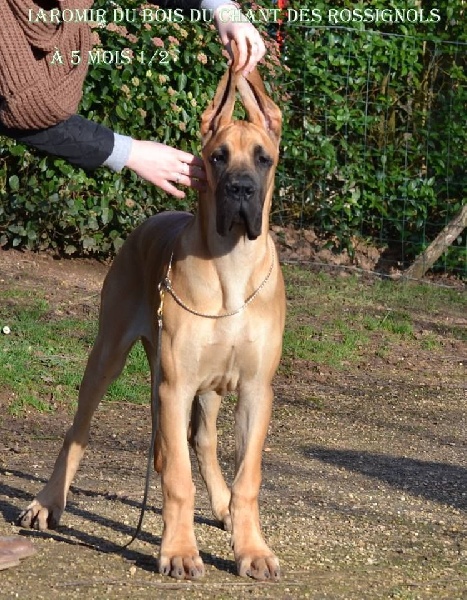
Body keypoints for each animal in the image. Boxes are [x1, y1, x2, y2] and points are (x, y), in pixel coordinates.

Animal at [19, 50, 286, 580]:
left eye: (262, 158)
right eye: (218, 157)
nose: (241, 190)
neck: (231, 268)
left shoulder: (254, 389)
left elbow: (246, 476)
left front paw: (251, 548)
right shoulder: (175, 383)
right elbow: (178, 478)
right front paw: (179, 550)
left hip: (207, 386)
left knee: (202, 440)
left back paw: (222, 507)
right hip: (109, 355)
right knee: (77, 432)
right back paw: (47, 503)